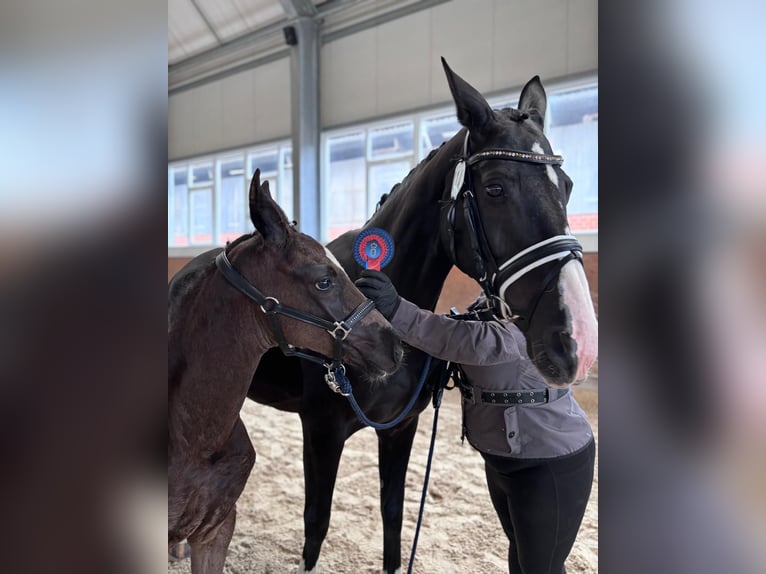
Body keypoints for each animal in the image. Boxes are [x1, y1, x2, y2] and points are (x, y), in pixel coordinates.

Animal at [248, 60, 600, 572]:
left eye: (568, 187)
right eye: (495, 188)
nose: (577, 337)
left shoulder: (401, 430)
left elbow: (393, 517)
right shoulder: (321, 432)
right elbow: (316, 526)